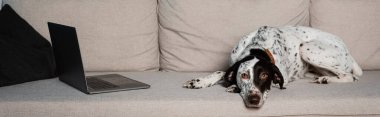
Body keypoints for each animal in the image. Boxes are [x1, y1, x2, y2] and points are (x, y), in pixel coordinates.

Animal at [183, 25, 362, 108]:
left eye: (264, 76)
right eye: (244, 75)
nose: (254, 99)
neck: (256, 47)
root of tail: (348, 51)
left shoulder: (282, 78)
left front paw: (233, 87)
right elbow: (222, 71)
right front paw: (199, 81)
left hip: (306, 48)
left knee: (350, 76)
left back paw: (325, 79)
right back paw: (323, 78)